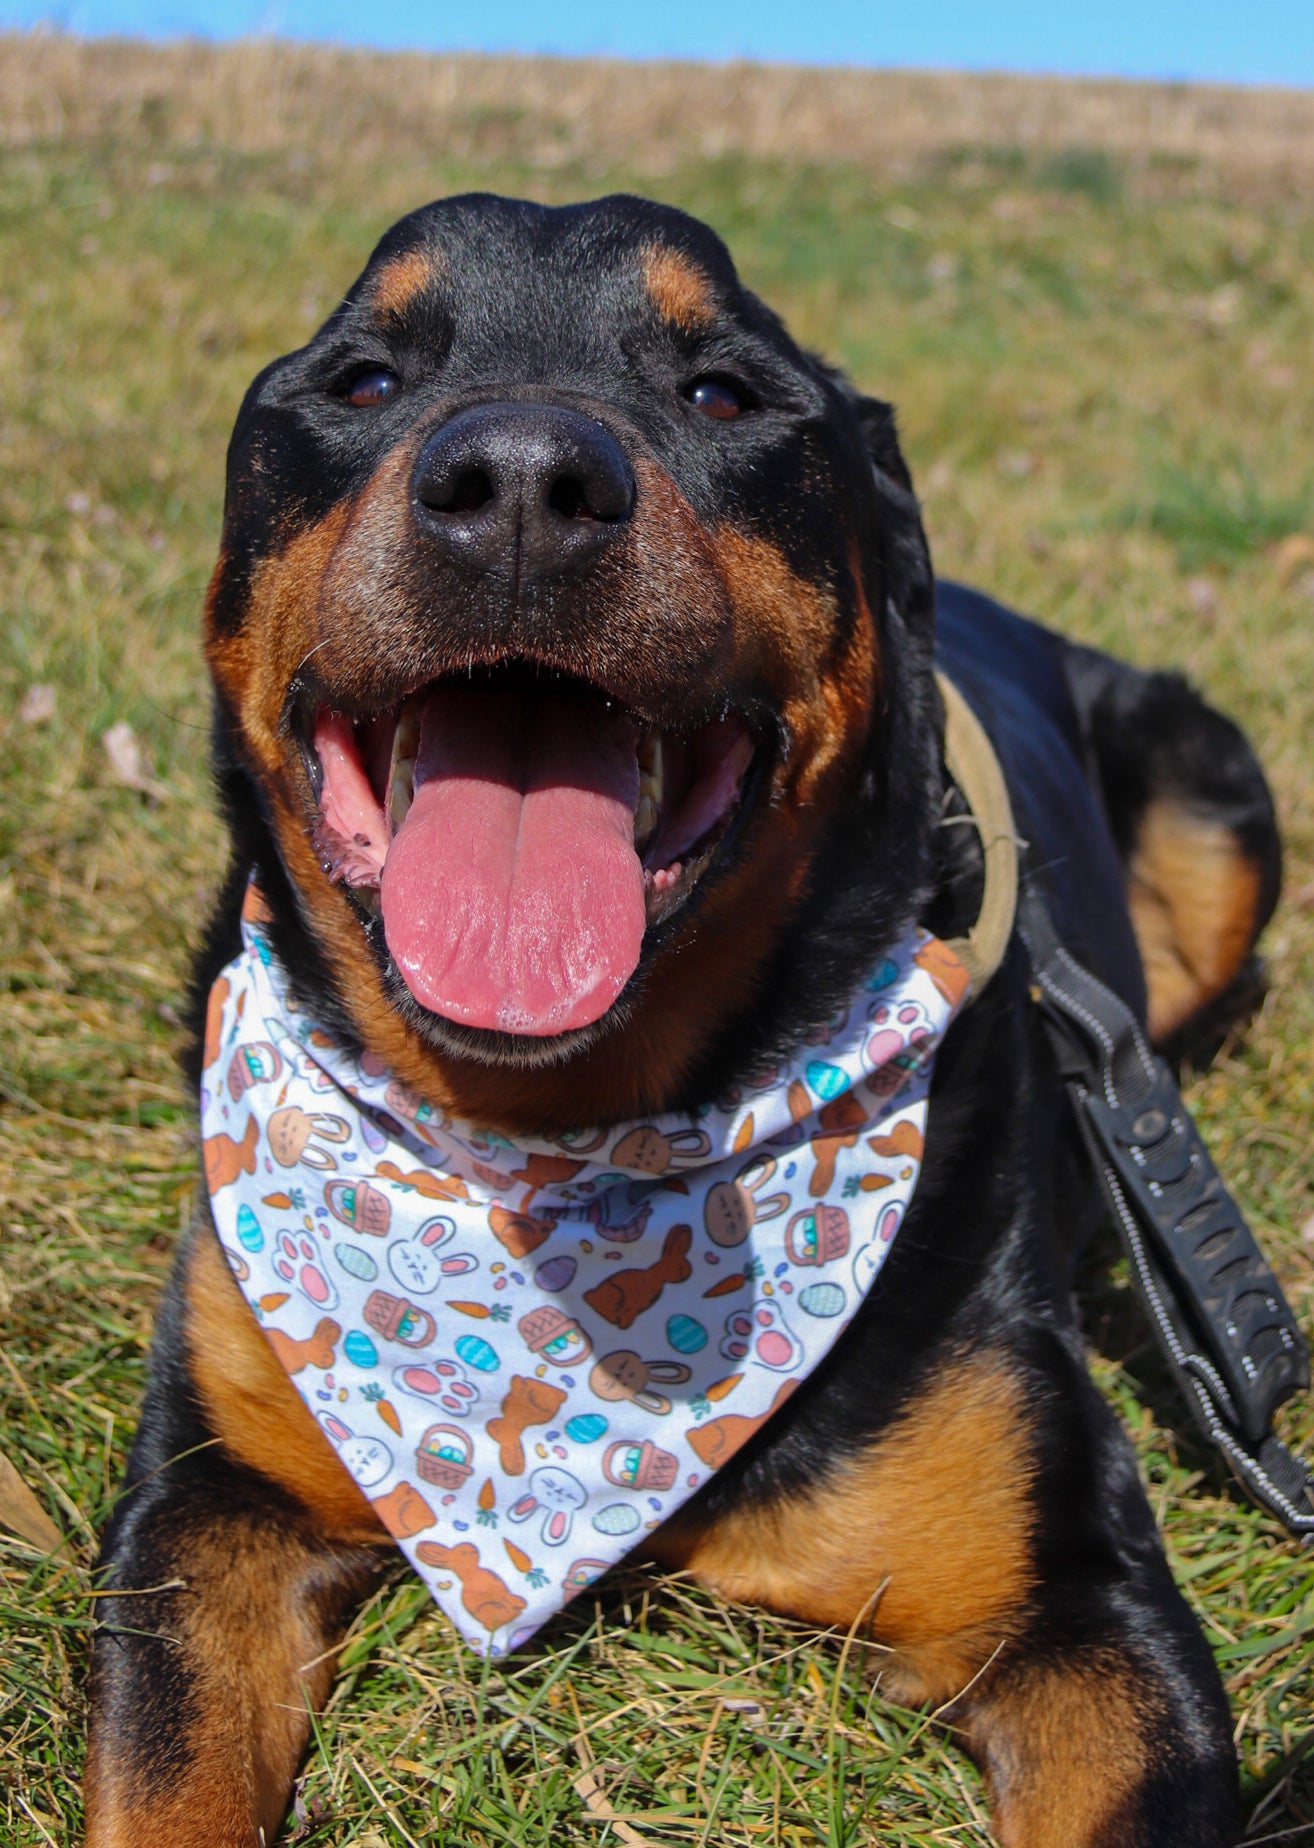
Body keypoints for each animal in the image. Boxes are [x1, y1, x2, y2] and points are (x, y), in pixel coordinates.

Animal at [90, 191, 1286, 1848]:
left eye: (722, 393)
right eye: (361, 381)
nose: (521, 481)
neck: (557, 1142)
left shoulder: (1078, 1604)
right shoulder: (206, 1505)